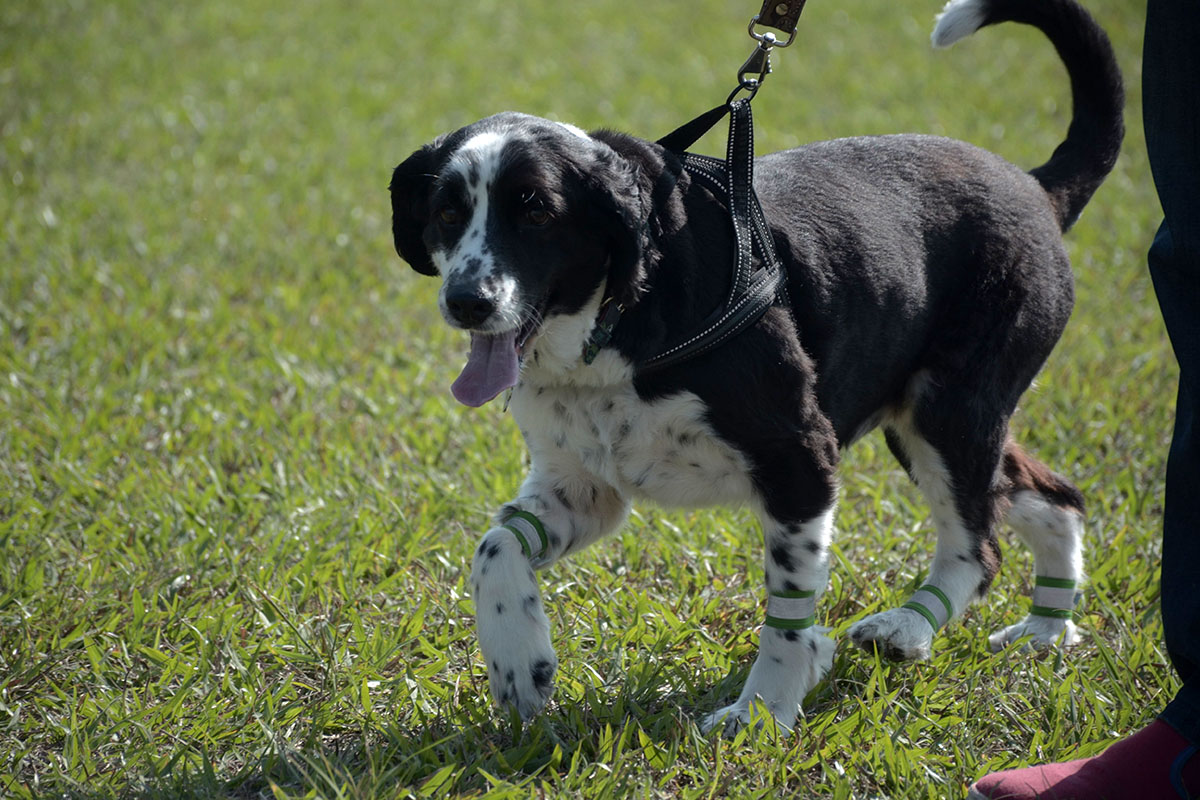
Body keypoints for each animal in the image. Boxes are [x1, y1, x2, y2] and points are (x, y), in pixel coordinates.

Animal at [388, 0, 1118, 734]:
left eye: (536, 210)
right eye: (446, 211)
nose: (466, 301)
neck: (628, 307)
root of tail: (1036, 186)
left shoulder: (801, 461)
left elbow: (787, 617)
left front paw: (759, 713)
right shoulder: (585, 487)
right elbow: (496, 545)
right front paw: (520, 664)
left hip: (949, 414)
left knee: (977, 544)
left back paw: (908, 627)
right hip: (933, 421)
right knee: (1050, 497)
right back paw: (1045, 631)